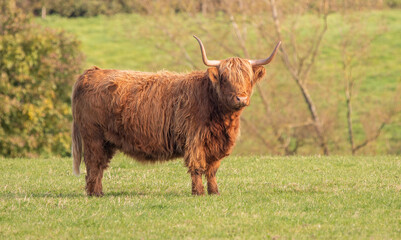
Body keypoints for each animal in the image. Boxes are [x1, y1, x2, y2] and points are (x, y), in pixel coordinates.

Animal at [70, 36, 280, 197]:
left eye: (248, 78)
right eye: (225, 79)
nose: (241, 98)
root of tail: (91, 72)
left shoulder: (216, 144)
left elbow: (212, 169)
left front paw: (214, 192)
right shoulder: (194, 139)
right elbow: (198, 167)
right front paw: (198, 193)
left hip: (106, 141)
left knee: (99, 166)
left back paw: (98, 192)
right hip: (93, 137)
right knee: (94, 164)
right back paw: (95, 193)